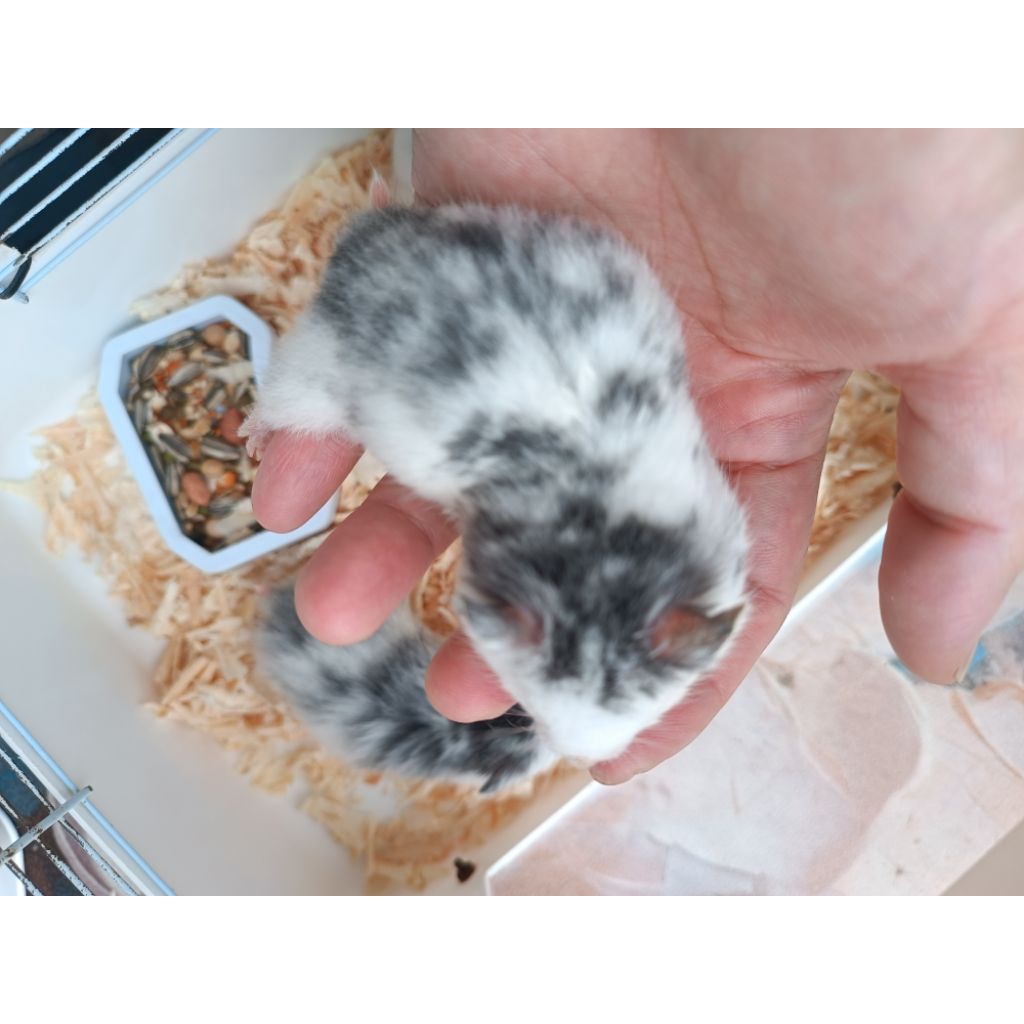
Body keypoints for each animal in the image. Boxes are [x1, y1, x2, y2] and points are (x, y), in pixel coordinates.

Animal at [247, 203, 749, 789]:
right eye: (531, 704)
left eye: (644, 711)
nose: (580, 759)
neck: (607, 545)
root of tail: (364, 246)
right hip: (314, 374)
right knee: (280, 405)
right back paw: (253, 441)